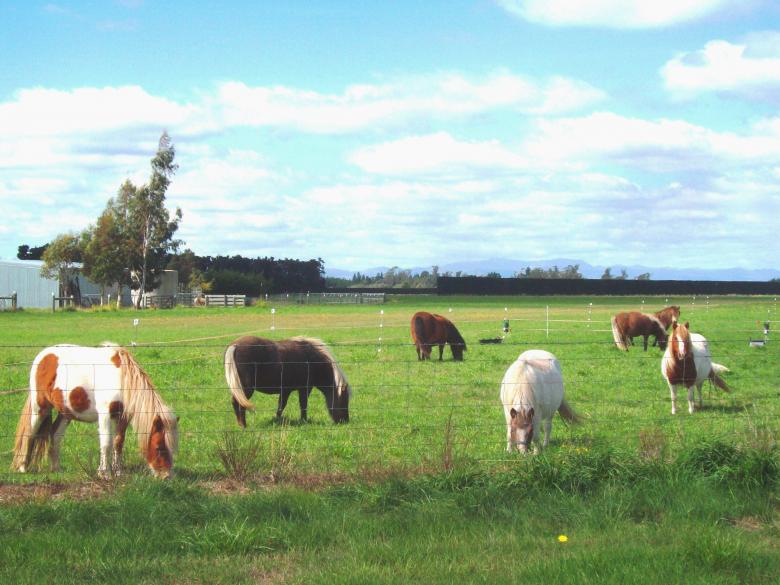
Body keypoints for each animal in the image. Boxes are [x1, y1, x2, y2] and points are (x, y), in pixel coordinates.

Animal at [12, 343, 179, 479]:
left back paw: (56, 468)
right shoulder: (105, 415)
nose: (166, 476)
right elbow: (106, 443)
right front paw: (104, 473)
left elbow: (118, 442)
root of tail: (43, 355)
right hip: (40, 408)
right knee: (30, 433)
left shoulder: (123, 416)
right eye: (158, 447)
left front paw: (118, 472)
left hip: (66, 413)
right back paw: (22, 467)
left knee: (55, 434)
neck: (121, 378)